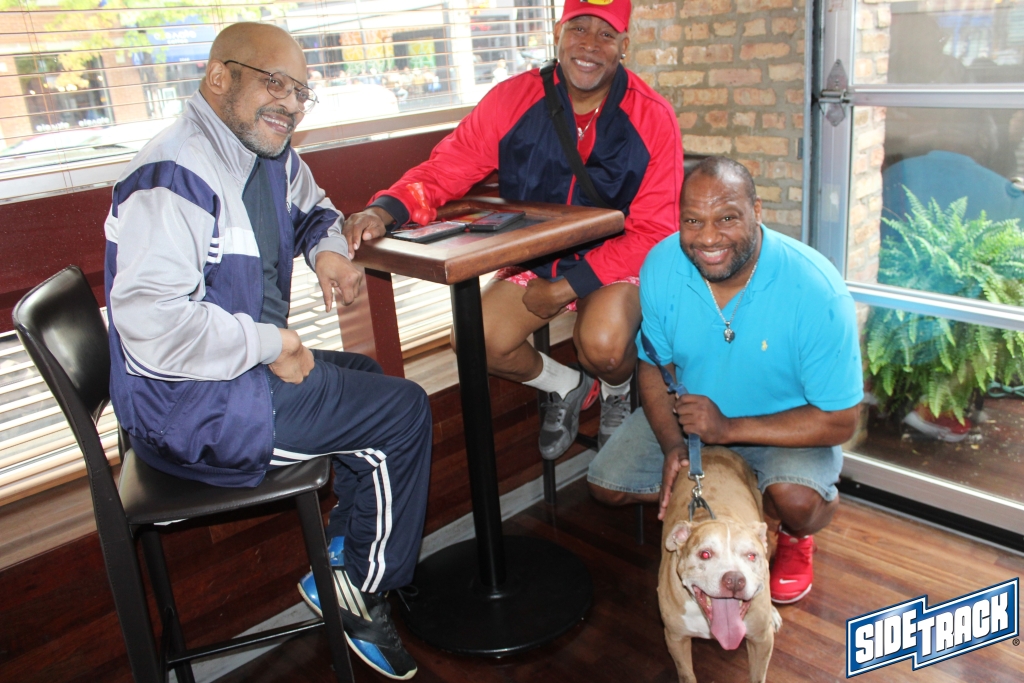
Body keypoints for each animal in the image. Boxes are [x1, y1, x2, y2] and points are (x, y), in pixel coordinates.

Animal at [657, 446, 782, 683]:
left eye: (751, 556)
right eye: (705, 554)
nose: (734, 580)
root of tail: (713, 448)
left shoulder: (762, 640)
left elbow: (758, 675)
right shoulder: (675, 638)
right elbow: (687, 674)